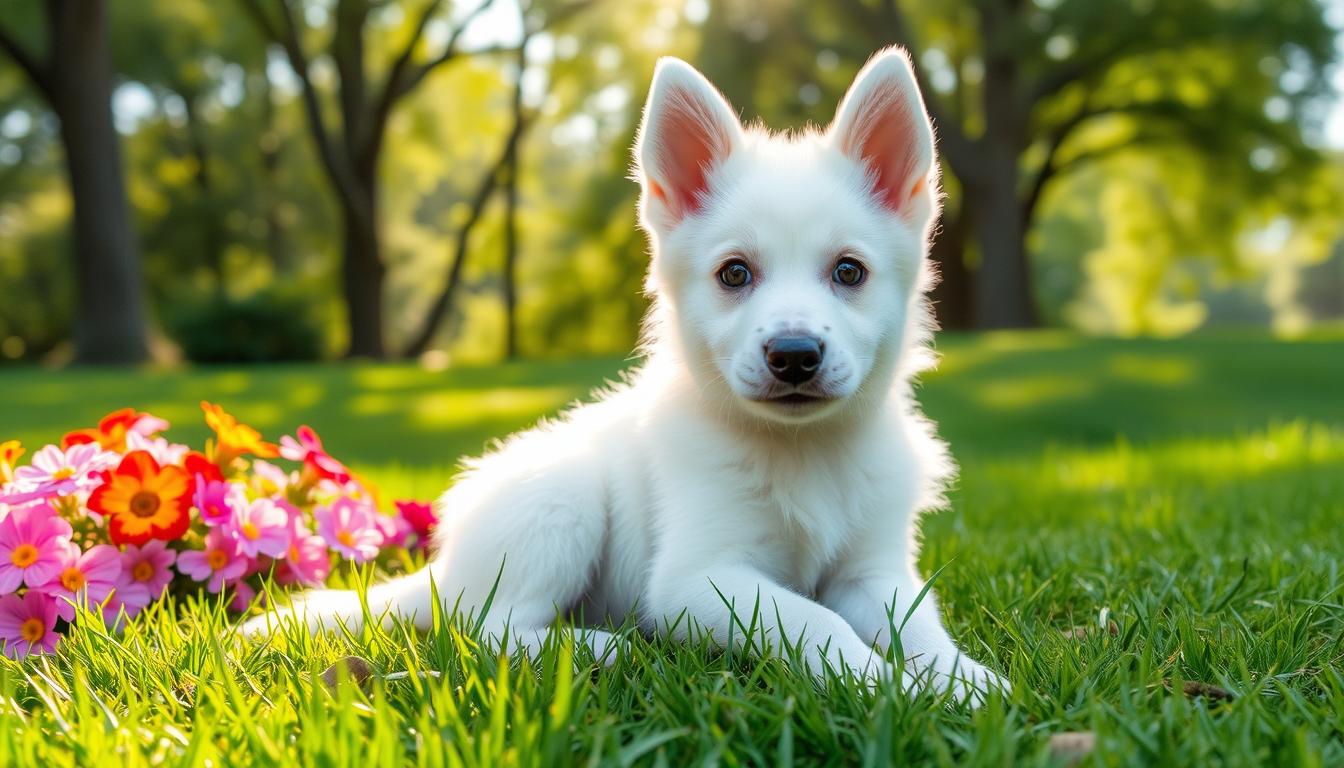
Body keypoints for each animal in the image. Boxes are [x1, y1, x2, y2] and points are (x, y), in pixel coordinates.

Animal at [244, 48, 1010, 704]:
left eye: (849, 272)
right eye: (735, 273)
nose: (794, 355)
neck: (803, 453)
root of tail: (443, 571)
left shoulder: (873, 570)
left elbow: (917, 622)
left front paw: (963, 682)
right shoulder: (699, 579)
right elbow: (819, 624)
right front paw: (886, 687)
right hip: (562, 498)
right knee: (487, 630)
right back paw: (600, 648)